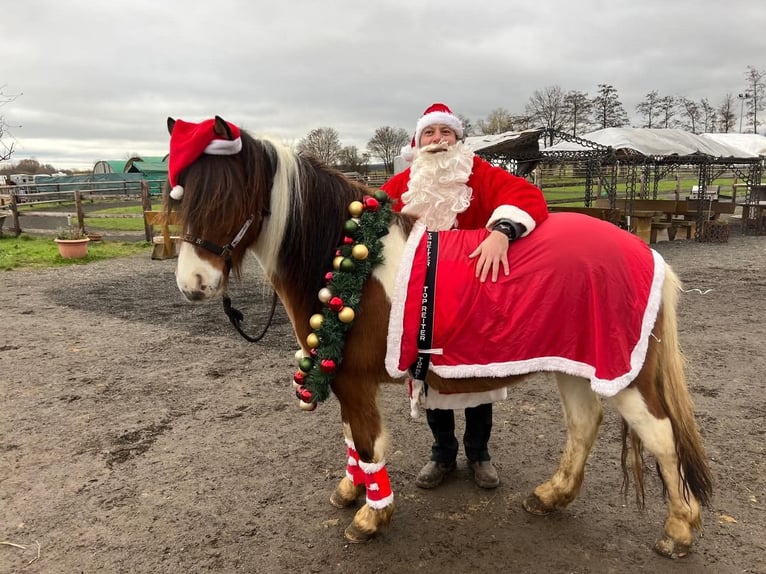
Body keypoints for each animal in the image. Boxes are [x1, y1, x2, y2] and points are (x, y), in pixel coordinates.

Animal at [166, 116, 713, 559]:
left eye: (226, 198)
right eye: (180, 197)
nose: (193, 284)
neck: (347, 260)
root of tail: (645, 252)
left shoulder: (355, 382)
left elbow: (367, 444)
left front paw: (371, 516)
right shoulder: (336, 373)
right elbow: (349, 440)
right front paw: (350, 491)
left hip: (626, 375)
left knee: (662, 438)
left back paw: (679, 530)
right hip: (576, 365)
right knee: (584, 424)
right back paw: (551, 495)